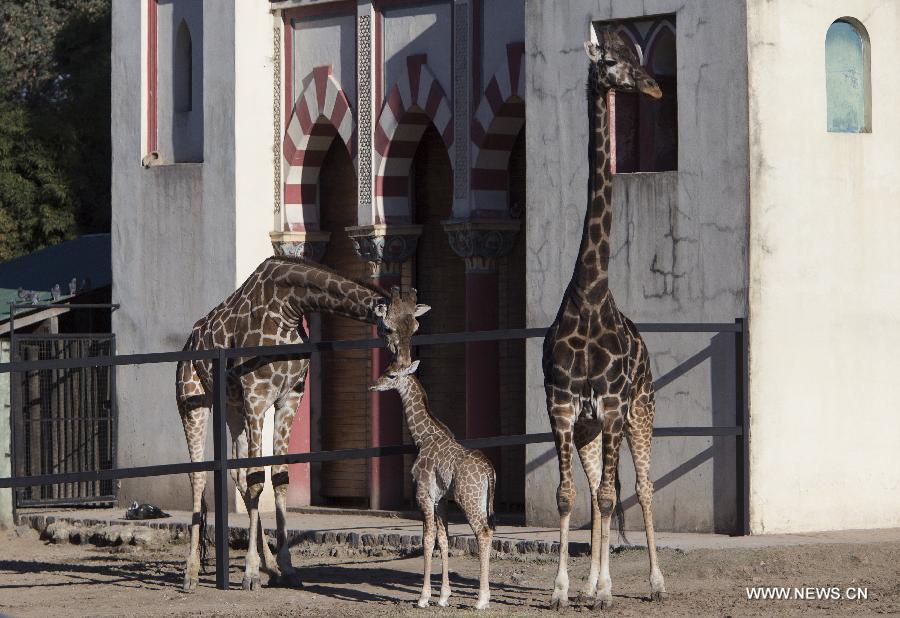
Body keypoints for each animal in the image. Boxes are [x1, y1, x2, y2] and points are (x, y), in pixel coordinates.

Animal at [178, 254, 430, 588]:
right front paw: (249, 573)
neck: (288, 307)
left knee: (237, 473)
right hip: (193, 400)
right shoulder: (257, 396)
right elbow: (258, 479)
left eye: (414, 326)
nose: (403, 366)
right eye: (387, 328)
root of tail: (189, 341)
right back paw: (191, 573)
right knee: (199, 475)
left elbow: (279, 477)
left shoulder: (289, 396)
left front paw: (286, 567)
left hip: (232, 408)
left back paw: (269, 565)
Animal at [370, 358, 500, 608]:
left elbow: (427, 539)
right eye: (385, 370)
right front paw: (443, 597)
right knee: (487, 531)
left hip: (468, 500)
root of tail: (490, 471)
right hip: (481, 500)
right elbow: (444, 539)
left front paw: (424, 597)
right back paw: (484, 596)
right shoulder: (441, 500)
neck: (423, 438)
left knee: (483, 532)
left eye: (391, 375)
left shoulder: (424, 495)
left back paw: (481, 600)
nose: (373, 386)